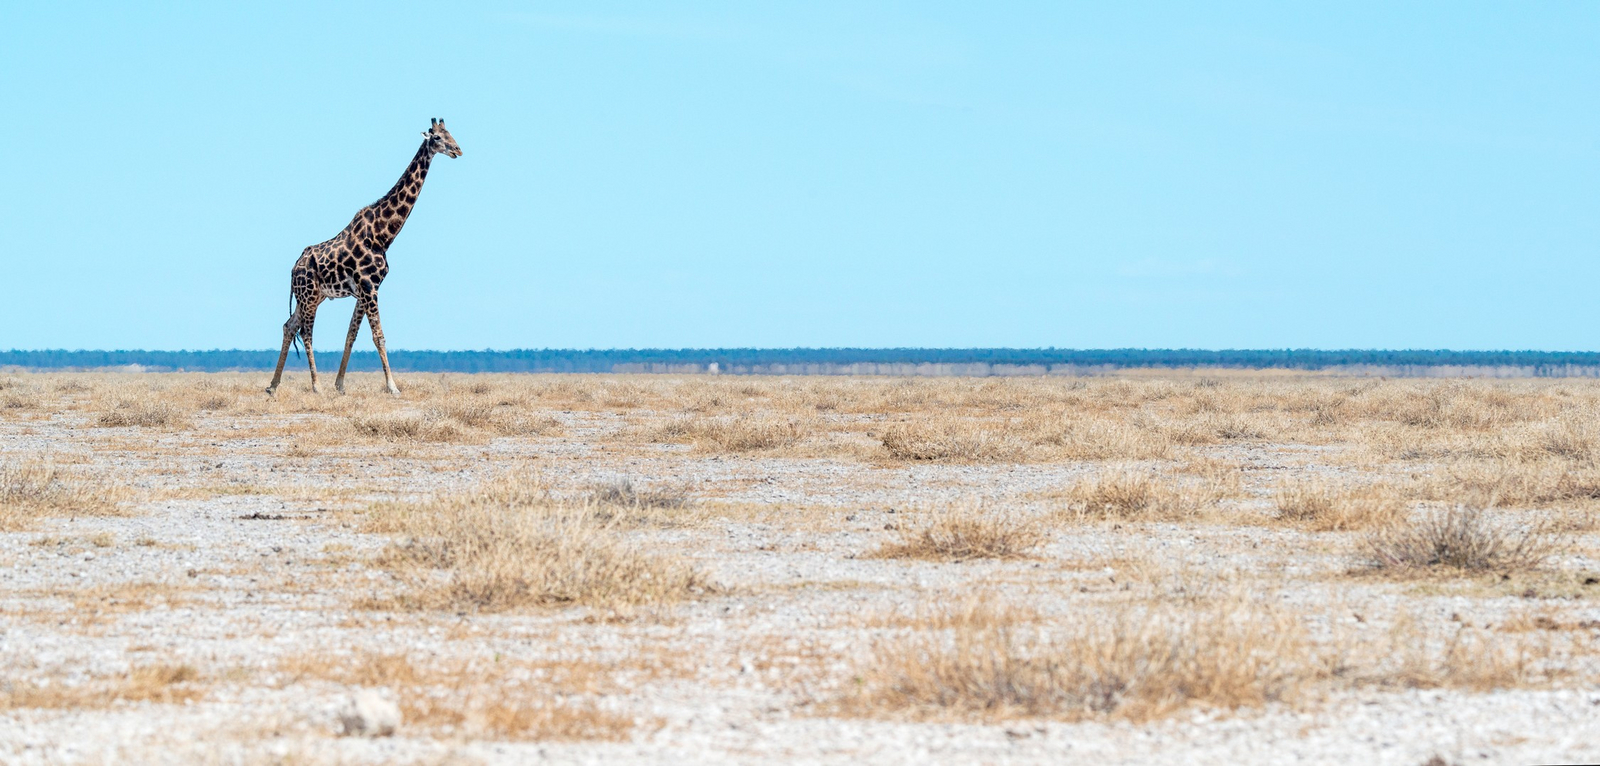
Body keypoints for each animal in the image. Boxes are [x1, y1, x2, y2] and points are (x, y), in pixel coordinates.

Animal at [266, 118, 463, 397]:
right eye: (436, 137)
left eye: (450, 133)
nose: (457, 150)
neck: (384, 235)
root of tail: (294, 268)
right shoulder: (370, 287)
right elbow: (378, 335)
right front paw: (393, 387)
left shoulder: (365, 290)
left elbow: (352, 334)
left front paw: (340, 385)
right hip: (308, 294)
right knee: (306, 332)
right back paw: (316, 386)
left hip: (315, 296)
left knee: (289, 325)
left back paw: (273, 386)